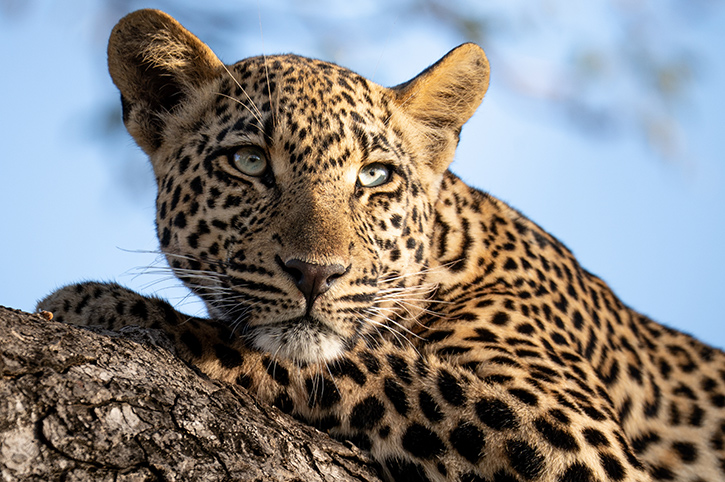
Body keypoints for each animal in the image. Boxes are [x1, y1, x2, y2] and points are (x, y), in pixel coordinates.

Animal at [37, 9, 725, 482]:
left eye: (374, 176)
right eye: (249, 161)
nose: (315, 274)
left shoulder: (580, 438)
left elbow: (376, 364)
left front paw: (108, 306)